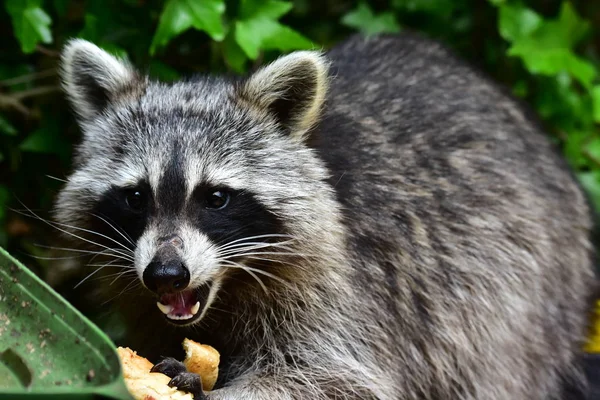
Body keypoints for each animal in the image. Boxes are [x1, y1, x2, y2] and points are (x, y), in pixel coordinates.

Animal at [55, 32, 596, 400]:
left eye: (215, 197)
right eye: (136, 196)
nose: (167, 275)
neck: (227, 290)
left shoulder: (346, 289)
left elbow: (338, 378)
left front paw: (211, 389)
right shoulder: (142, 297)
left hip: (520, 305)